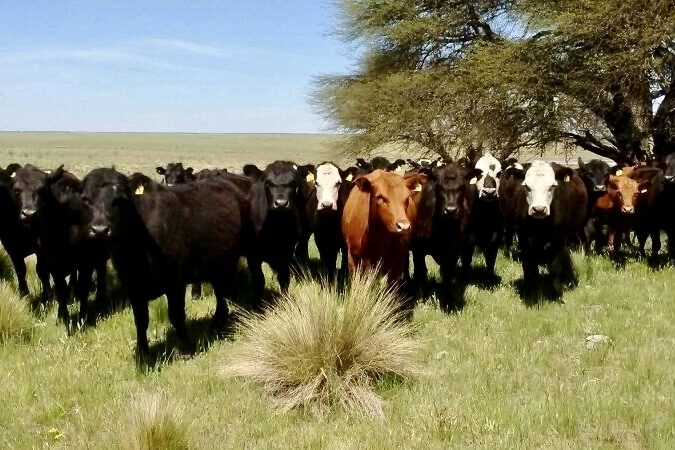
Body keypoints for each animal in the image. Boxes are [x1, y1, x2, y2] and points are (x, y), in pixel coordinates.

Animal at [80, 169, 252, 358]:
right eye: (86, 200)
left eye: (119, 200)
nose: (99, 229)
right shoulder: (133, 286)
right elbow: (141, 320)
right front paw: (142, 352)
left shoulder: (175, 282)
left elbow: (176, 315)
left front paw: (186, 348)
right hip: (217, 262)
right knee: (221, 292)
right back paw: (217, 323)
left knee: (223, 292)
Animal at [516, 162, 588, 298]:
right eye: (527, 186)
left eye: (552, 186)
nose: (539, 209)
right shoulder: (523, 238)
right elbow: (527, 265)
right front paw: (528, 289)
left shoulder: (558, 239)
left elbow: (555, 267)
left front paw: (557, 293)